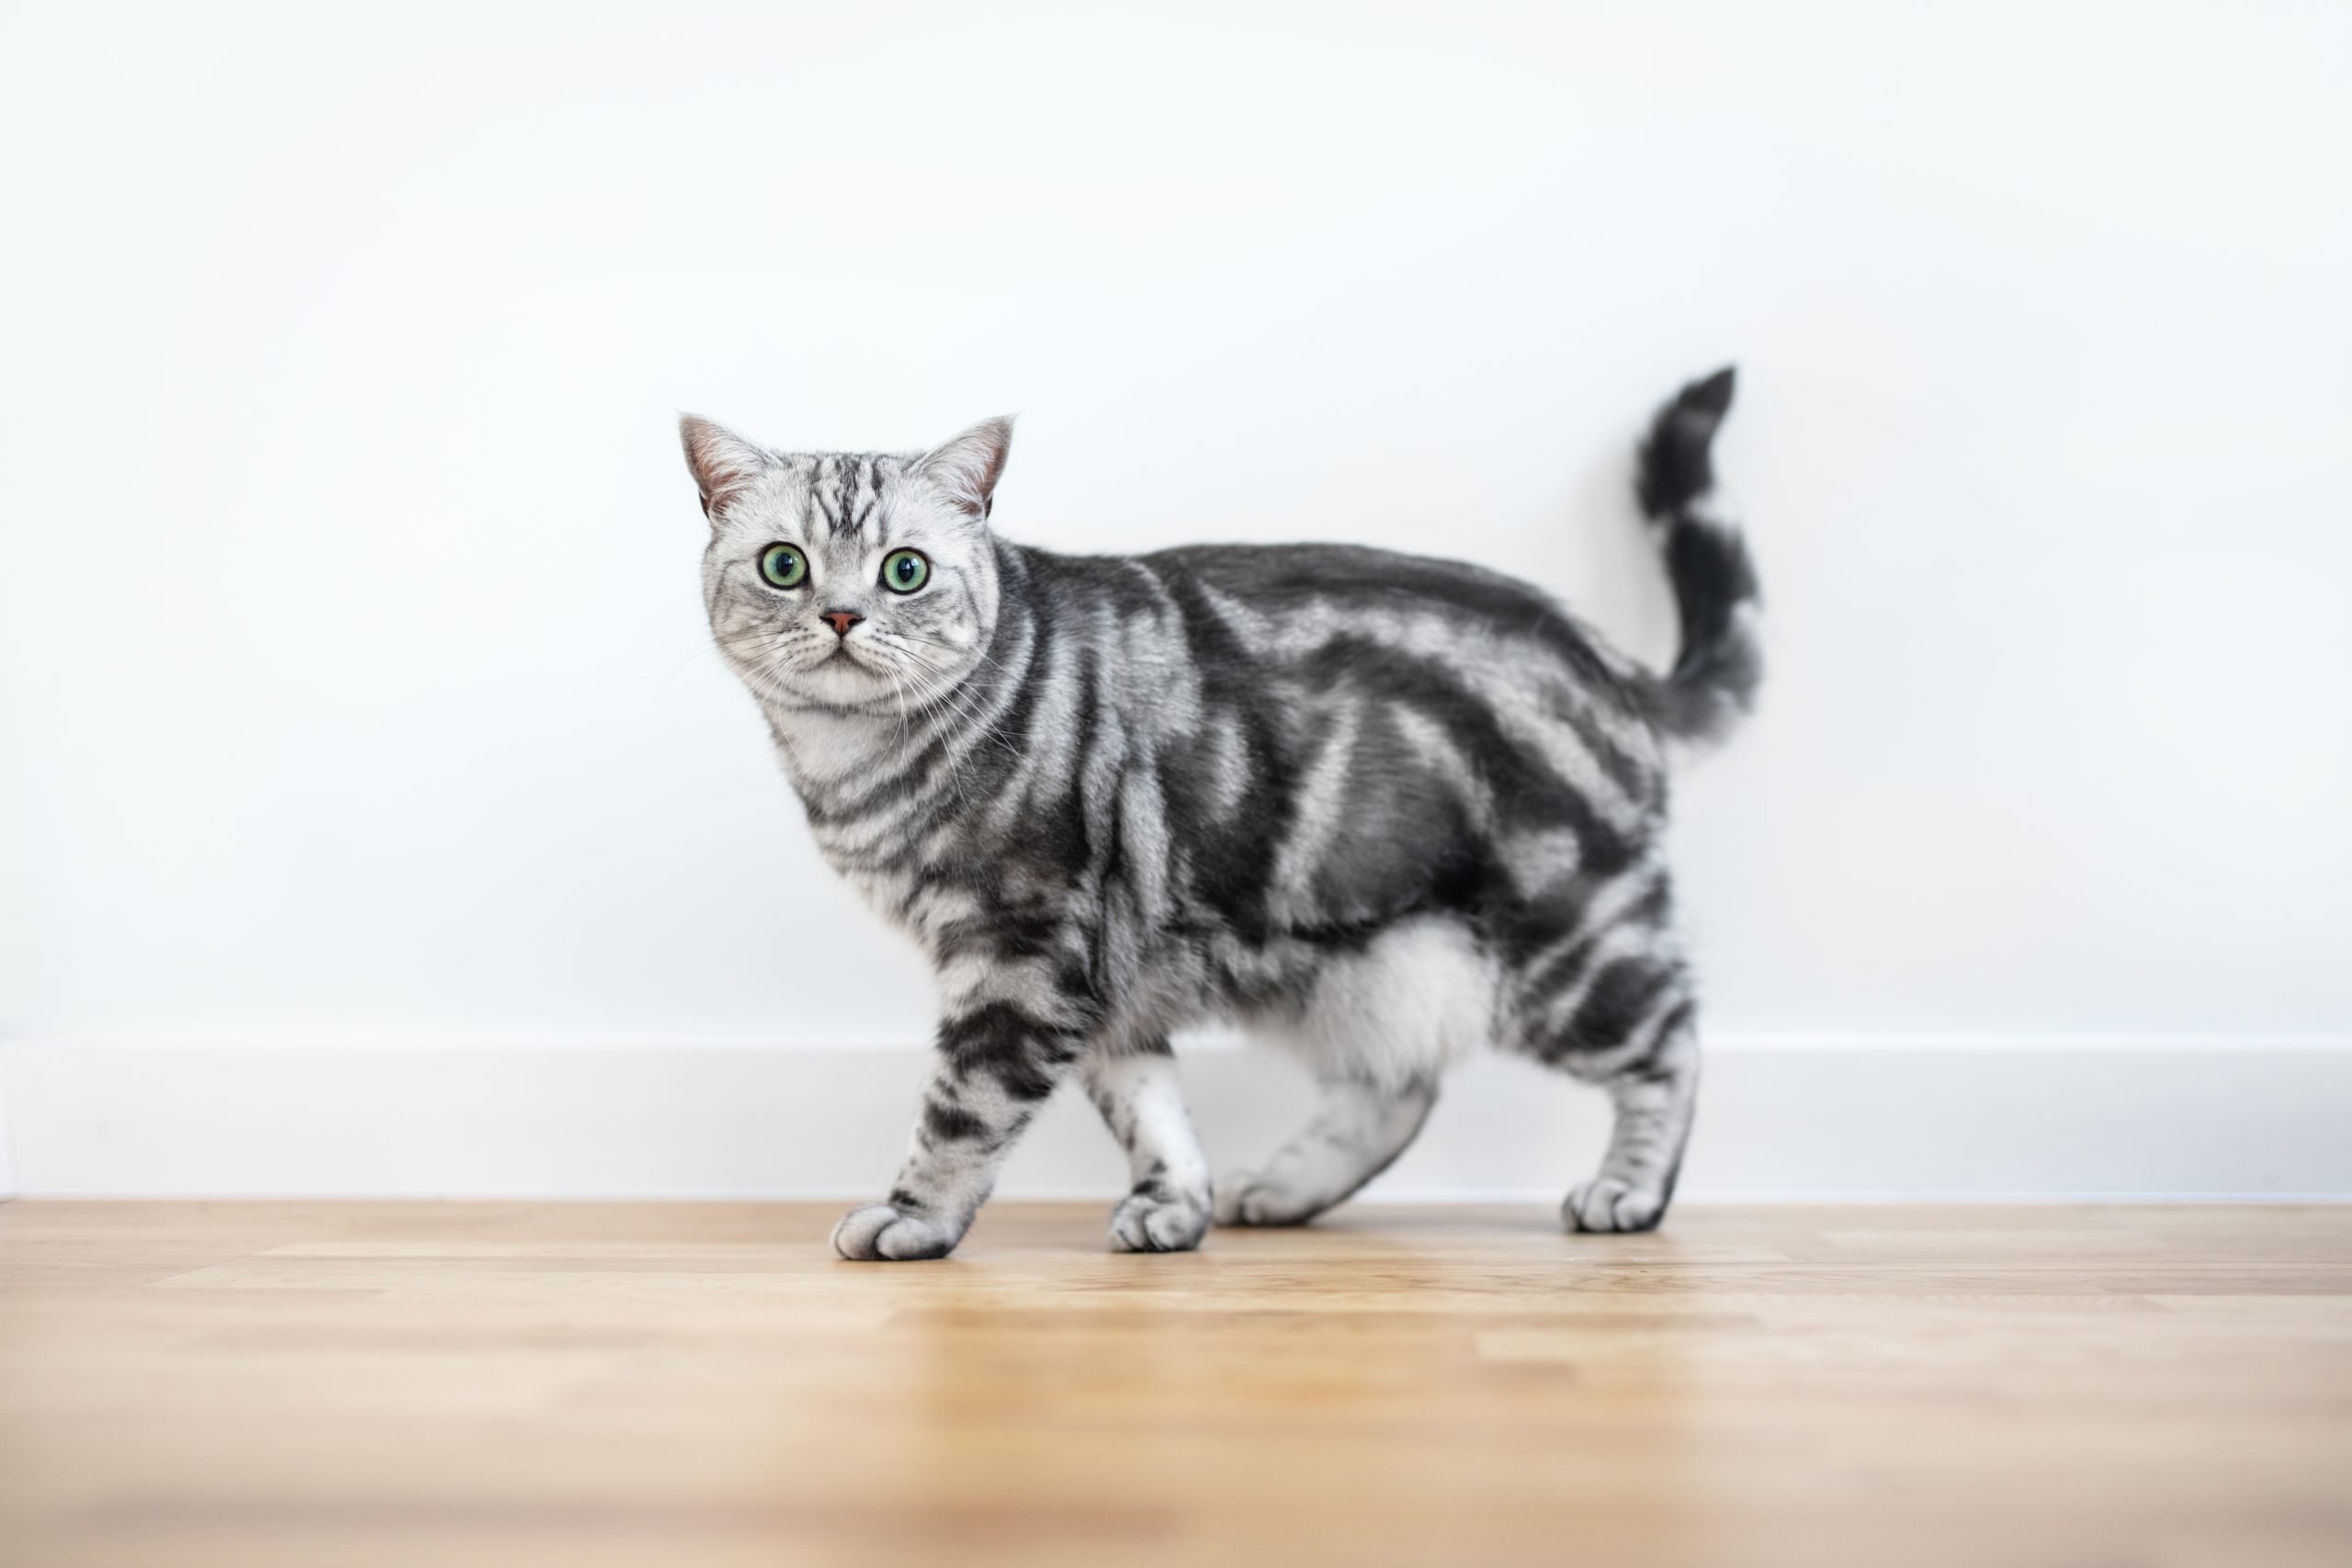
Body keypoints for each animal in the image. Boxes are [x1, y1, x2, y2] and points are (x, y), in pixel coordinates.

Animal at [673, 371, 1758, 1259]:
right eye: (784, 566)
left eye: (904, 570)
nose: (842, 616)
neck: (854, 763)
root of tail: (1605, 660)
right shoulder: (1104, 974)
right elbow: (1148, 1105)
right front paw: (1175, 1203)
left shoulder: (1023, 951)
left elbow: (962, 1112)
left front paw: (913, 1217)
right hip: (1370, 958)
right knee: (1403, 1084)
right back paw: (1279, 1189)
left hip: (1567, 940)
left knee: (1671, 1045)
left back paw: (1629, 1192)